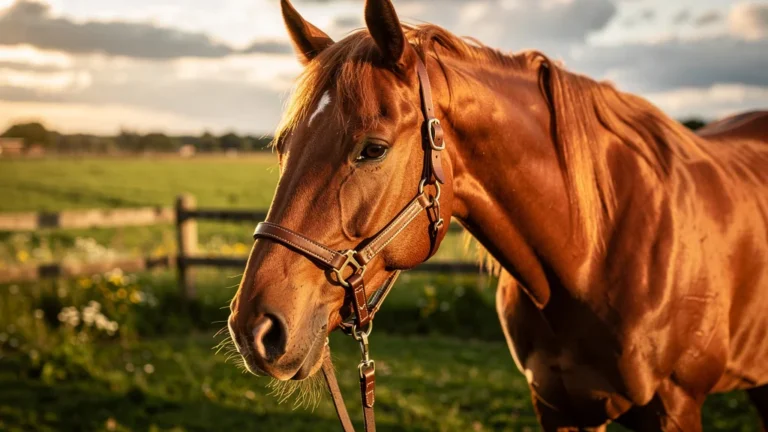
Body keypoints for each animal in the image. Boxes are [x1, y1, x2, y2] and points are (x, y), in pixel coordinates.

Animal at [227, 0, 768, 430]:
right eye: (282, 146)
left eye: (373, 149)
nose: (255, 329)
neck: (595, 252)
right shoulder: (557, 407)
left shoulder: (674, 409)